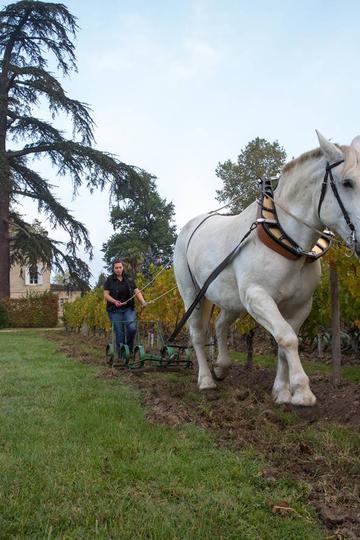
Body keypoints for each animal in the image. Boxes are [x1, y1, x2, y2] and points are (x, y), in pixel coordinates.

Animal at [174, 132, 360, 404]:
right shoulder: (257, 296)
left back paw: (221, 366)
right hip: (192, 294)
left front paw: (282, 392)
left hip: (231, 299)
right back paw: (207, 380)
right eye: (348, 182)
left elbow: (284, 344)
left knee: (220, 325)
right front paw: (302, 391)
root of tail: (191, 226)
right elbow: (287, 338)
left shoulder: (300, 305)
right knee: (198, 334)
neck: (286, 238)